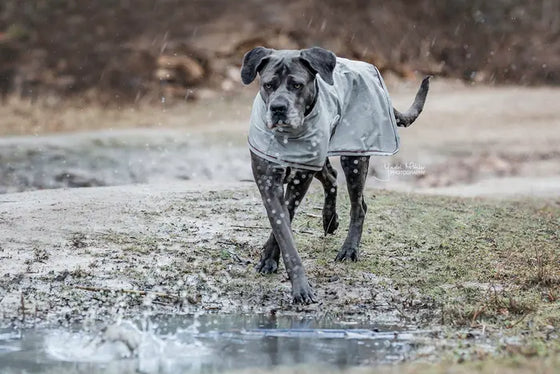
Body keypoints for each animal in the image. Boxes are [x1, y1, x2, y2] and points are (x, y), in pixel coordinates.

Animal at [241, 46, 428, 304]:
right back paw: (329, 219)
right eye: (268, 85)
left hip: (355, 157)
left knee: (359, 206)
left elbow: (285, 227)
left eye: (297, 85)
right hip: (321, 157)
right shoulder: (268, 181)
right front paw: (271, 261)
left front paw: (298, 286)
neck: (286, 137)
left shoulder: (299, 179)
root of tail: (367, 68)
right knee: (330, 176)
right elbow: (282, 229)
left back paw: (349, 249)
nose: (278, 108)